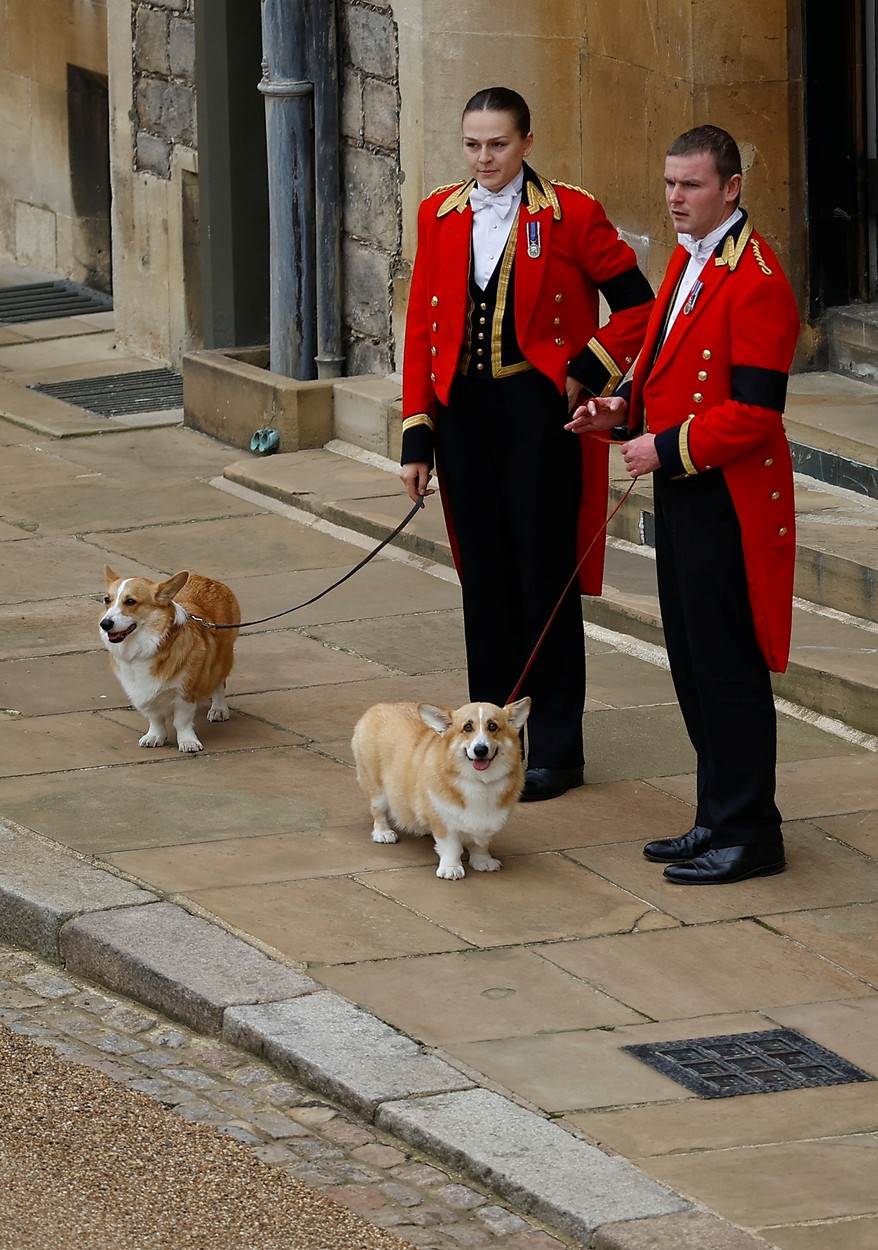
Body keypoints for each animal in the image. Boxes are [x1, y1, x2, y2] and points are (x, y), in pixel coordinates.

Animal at [100, 567, 240, 750]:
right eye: (107, 600)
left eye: (130, 601)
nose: (104, 624)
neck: (147, 646)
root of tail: (208, 580)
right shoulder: (143, 692)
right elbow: (155, 718)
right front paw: (154, 736)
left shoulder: (185, 691)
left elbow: (182, 721)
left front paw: (188, 742)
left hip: (221, 659)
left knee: (219, 683)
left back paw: (219, 709)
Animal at [350, 700, 530, 885]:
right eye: (467, 727)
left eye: (492, 726)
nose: (480, 750)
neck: (480, 781)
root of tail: (378, 706)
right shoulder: (443, 820)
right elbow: (451, 847)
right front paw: (451, 869)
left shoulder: (487, 822)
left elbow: (481, 844)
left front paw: (483, 861)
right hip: (376, 788)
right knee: (378, 811)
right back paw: (383, 833)